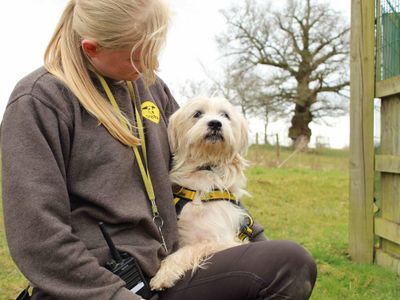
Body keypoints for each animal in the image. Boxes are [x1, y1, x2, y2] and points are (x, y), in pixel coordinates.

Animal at [150, 97, 253, 290]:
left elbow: (188, 250)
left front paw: (164, 274)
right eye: (197, 113)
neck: (206, 170)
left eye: (225, 115)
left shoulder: (222, 241)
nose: (215, 123)